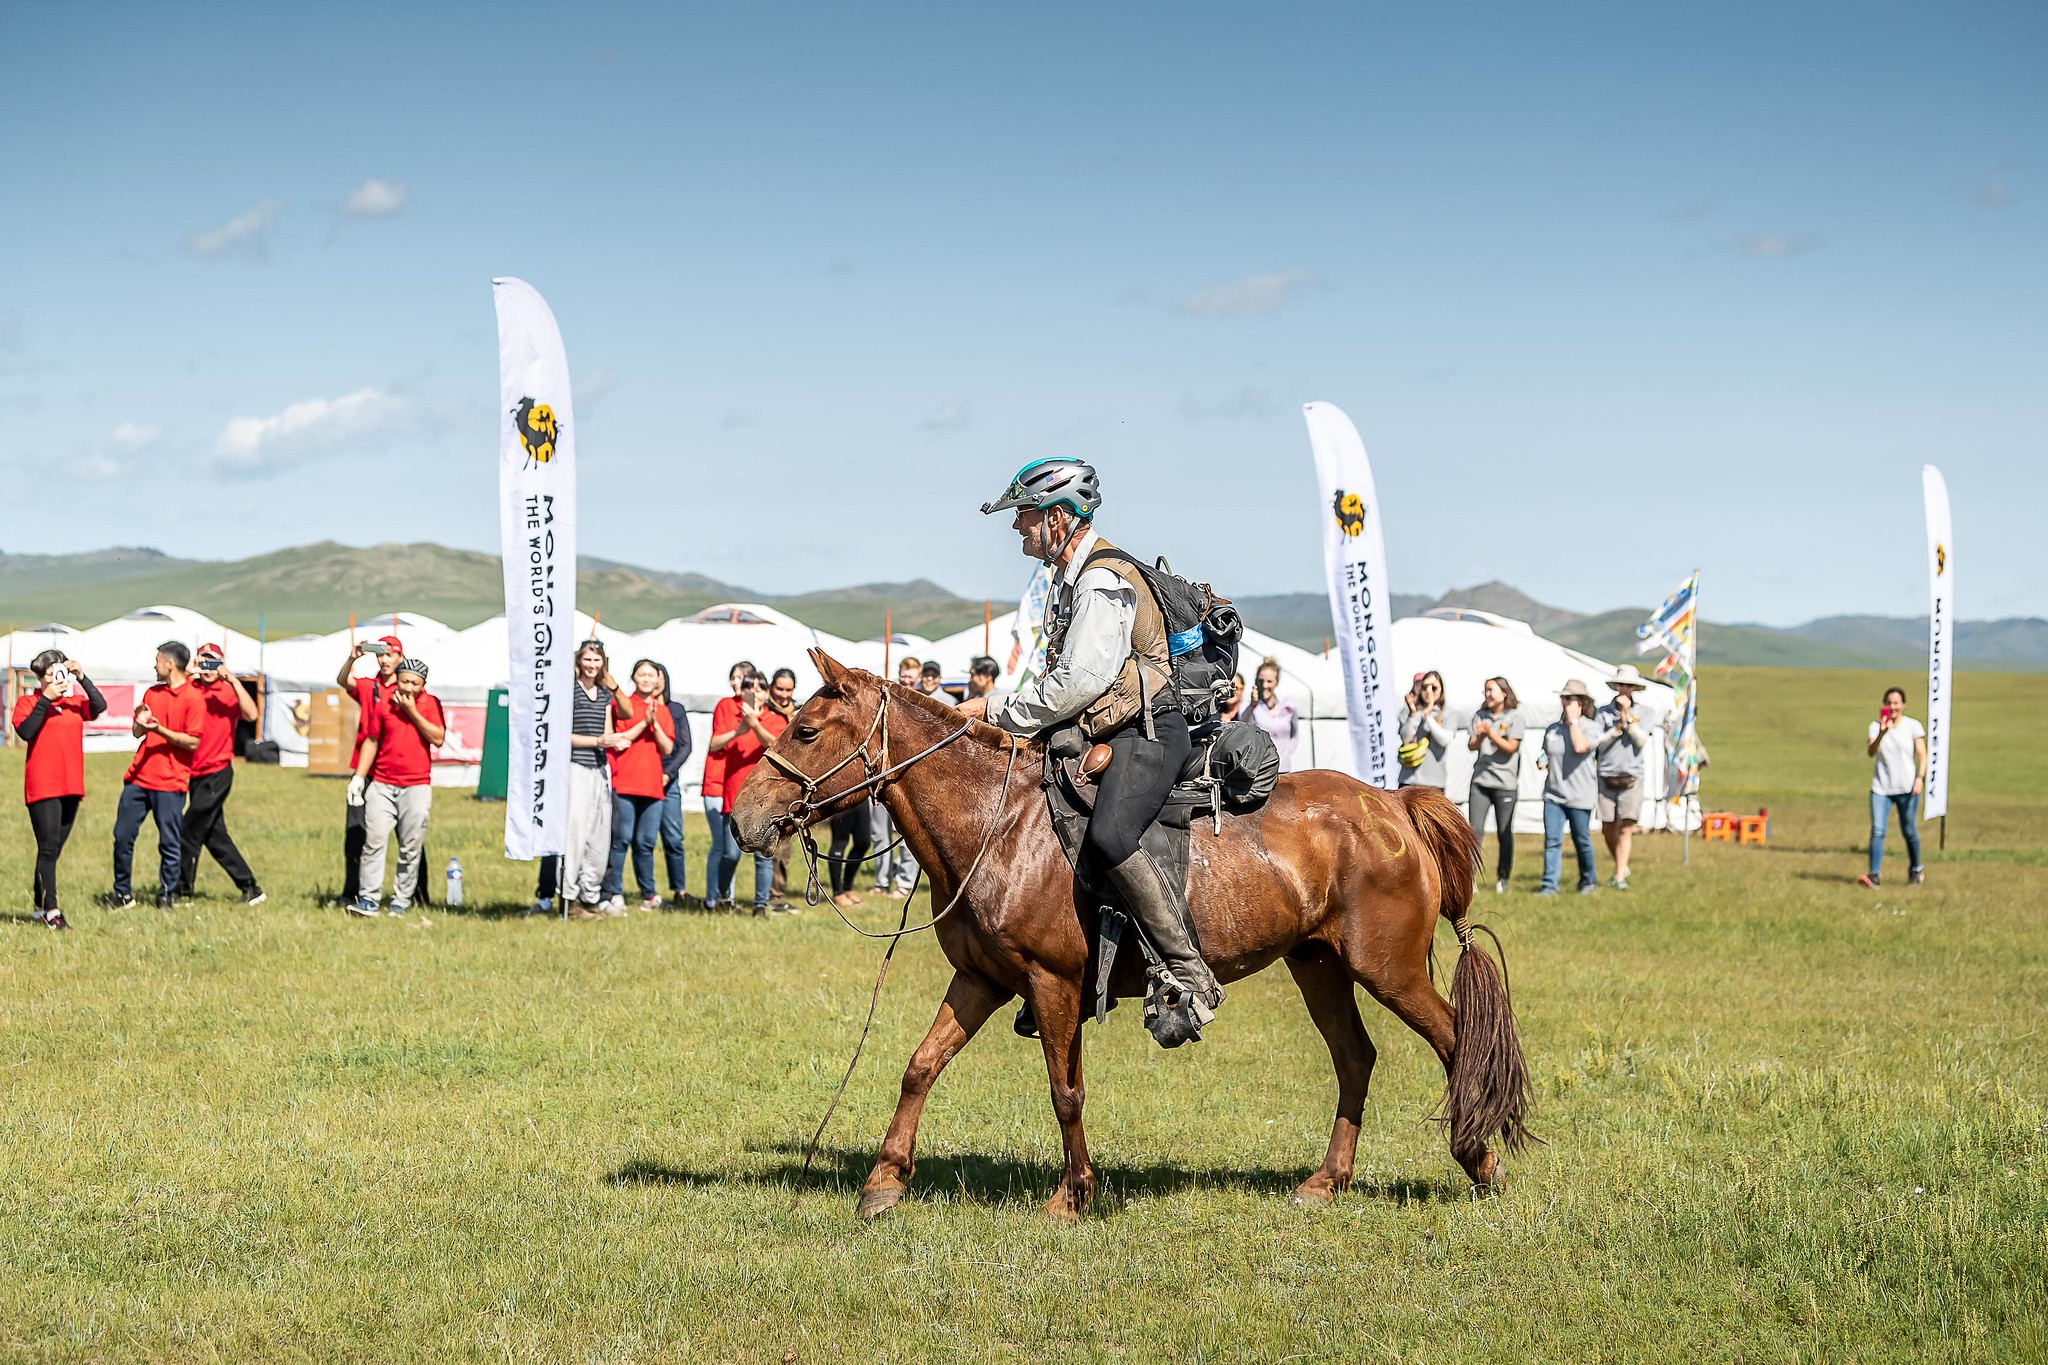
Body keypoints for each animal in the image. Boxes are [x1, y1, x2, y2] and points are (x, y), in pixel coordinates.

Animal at [729, 654, 1531, 1219]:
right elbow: (921, 1066)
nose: (742, 818)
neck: (999, 824)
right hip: (1320, 966)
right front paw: (885, 1181)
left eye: (805, 730)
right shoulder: (983, 979)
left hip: (1389, 970)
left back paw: (1480, 1162)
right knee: (1356, 1058)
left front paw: (1072, 1194)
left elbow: (1065, 1091)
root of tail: (1394, 803)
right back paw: (1326, 1181)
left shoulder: (1050, 984)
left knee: (1457, 1041)